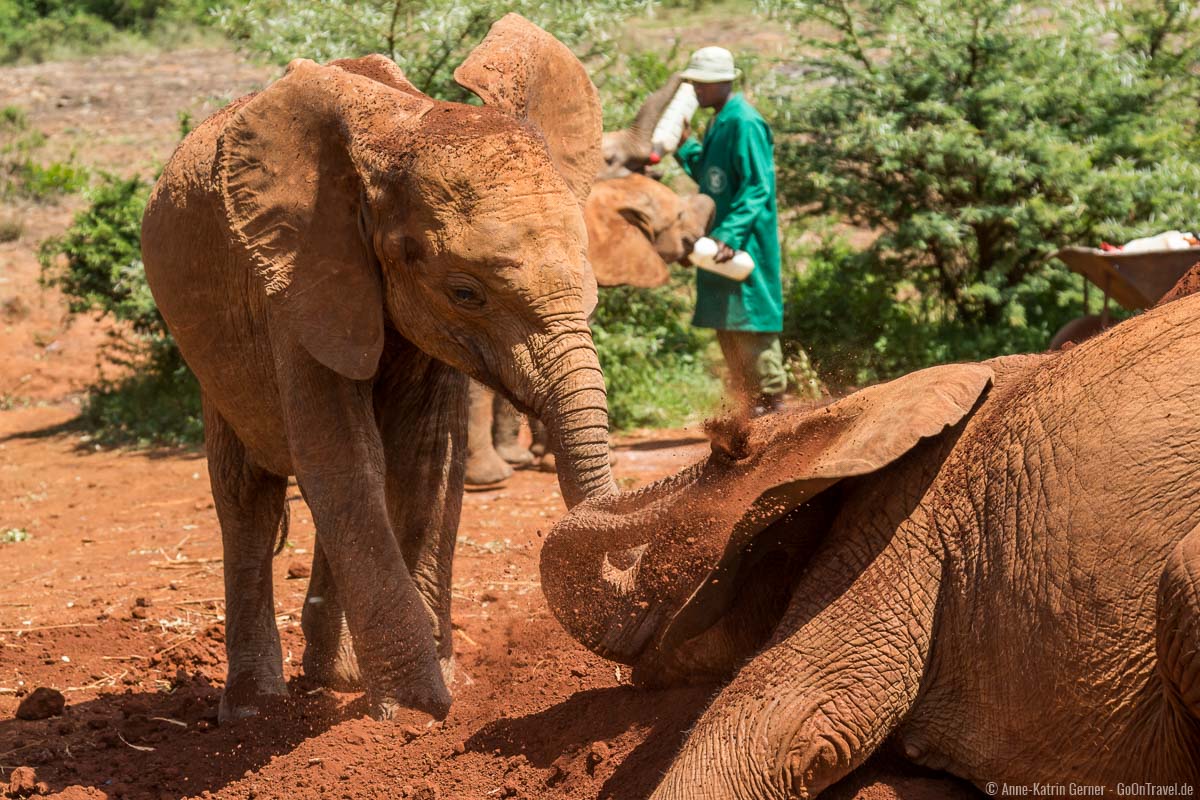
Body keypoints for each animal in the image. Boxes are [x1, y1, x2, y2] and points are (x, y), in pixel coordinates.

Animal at [138, 15, 619, 724]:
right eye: (465, 292)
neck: (398, 132)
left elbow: (421, 456)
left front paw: (429, 694)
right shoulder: (296, 282)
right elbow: (343, 457)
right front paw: (421, 714)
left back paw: (335, 678)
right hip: (211, 354)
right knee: (247, 495)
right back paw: (254, 710)